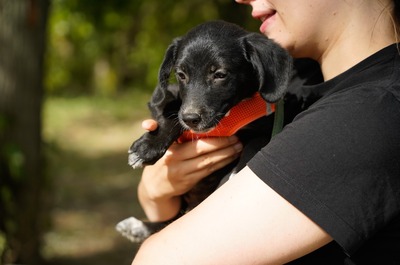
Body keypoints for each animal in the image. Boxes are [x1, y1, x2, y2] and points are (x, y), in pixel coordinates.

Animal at [130, 21, 292, 173]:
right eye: (181, 75)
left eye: (220, 75)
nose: (190, 119)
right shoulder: (163, 96)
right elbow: (170, 112)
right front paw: (148, 146)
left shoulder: (266, 128)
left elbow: (257, 144)